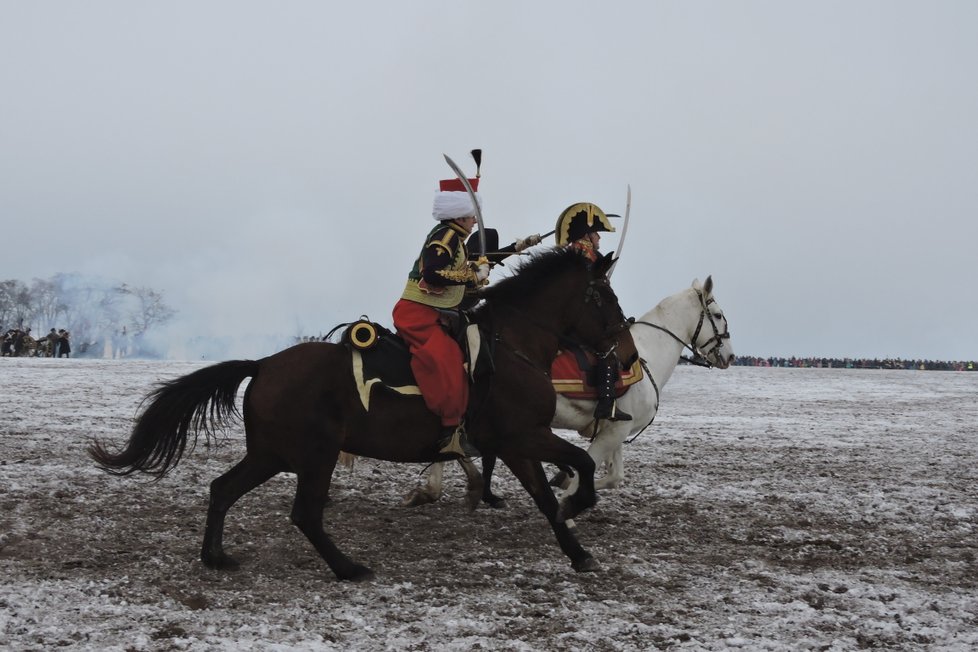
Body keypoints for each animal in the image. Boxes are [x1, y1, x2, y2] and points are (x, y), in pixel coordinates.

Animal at [91, 250, 632, 580]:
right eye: (605, 296)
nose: (626, 355)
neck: (513, 346)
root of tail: (264, 364)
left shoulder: (518, 444)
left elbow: (544, 495)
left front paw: (577, 550)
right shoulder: (525, 435)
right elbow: (582, 465)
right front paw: (576, 505)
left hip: (273, 454)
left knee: (223, 489)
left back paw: (216, 556)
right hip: (315, 454)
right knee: (305, 513)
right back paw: (348, 568)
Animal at [402, 276, 732, 510]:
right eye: (717, 314)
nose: (728, 356)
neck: (648, 355)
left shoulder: (615, 429)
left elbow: (614, 476)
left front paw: (563, 482)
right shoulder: (612, 433)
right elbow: (593, 468)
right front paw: (568, 496)